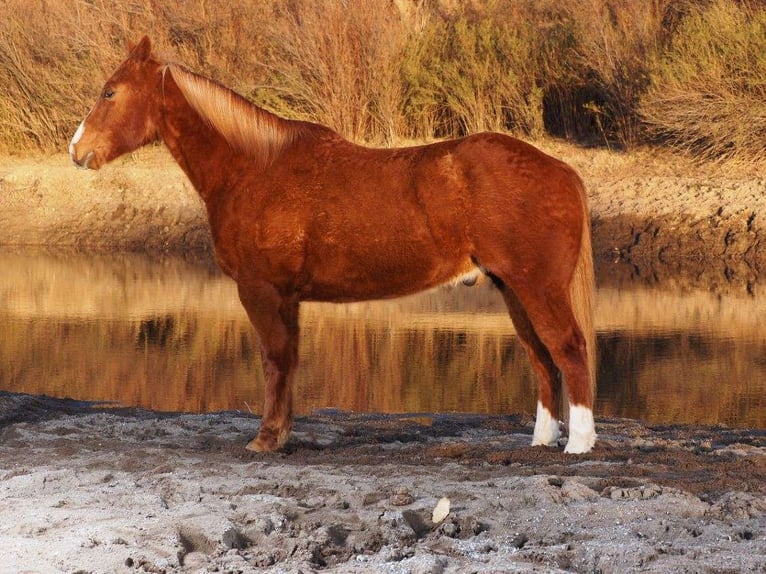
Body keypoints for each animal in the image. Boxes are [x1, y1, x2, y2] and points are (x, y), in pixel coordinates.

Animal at [70, 38, 600, 456]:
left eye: (110, 91)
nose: (77, 150)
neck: (255, 169)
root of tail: (561, 169)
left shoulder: (261, 291)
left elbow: (274, 361)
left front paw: (265, 439)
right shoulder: (286, 298)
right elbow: (287, 362)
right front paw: (280, 434)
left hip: (538, 287)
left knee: (568, 349)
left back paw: (578, 443)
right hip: (512, 289)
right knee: (541, 359)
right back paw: (541, 441)